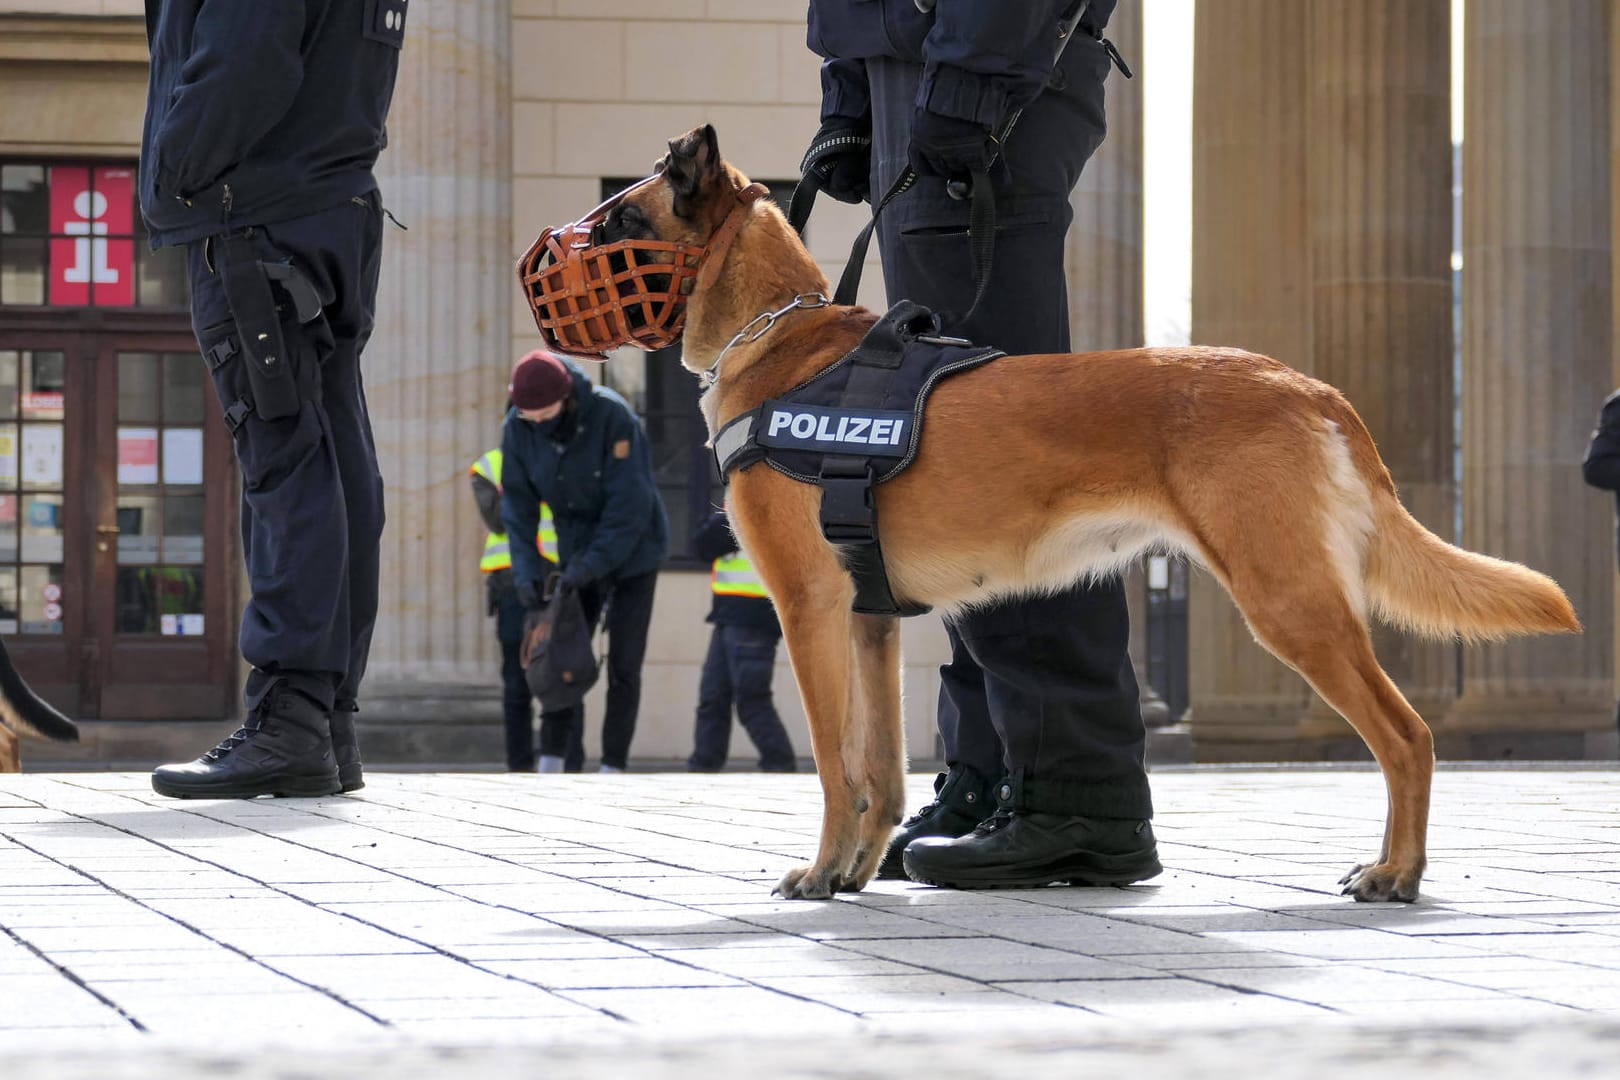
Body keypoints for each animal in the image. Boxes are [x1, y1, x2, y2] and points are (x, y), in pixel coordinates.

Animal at [592, 127, 1568, 906]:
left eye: (611, 226)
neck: (782, 340)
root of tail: (1306, 384)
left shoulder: (809, 611)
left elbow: (835, 766)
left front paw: (822, 872)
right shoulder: (871, 623)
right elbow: (880, 771)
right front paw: (860, 869)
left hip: (1292, 605)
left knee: (1409, 737)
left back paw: (1396, 872)